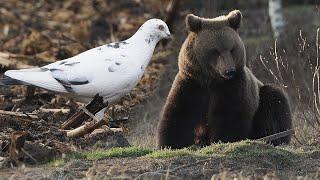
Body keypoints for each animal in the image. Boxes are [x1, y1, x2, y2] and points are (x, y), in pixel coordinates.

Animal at [158, 9, 292, 149]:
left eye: (232, 49)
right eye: (215, 51)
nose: (229, 71)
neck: (211, 80)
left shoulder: (233, 87)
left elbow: (229, 117)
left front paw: (222, 140)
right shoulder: (192, 84)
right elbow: (179, 116)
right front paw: (169, 144)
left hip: (261, 103)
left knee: (274, 100)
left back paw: (273, 139)